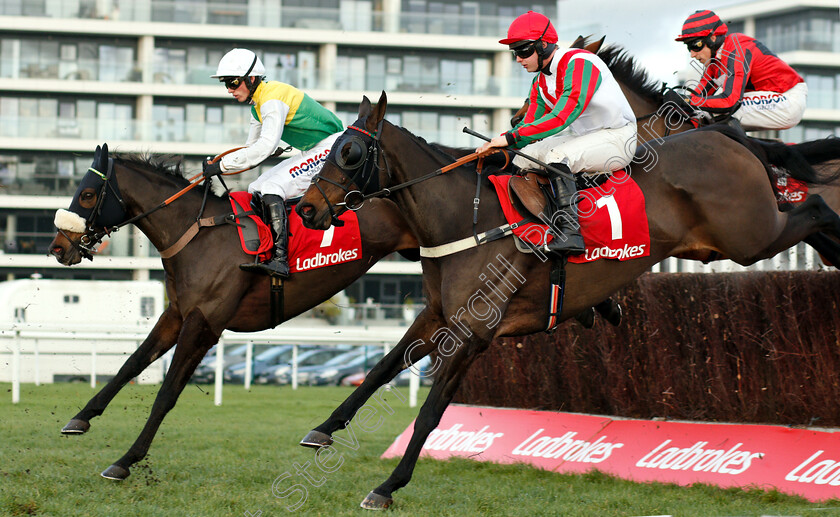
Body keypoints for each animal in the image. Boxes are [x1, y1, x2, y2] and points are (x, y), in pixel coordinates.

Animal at [45, 142, 416, 480]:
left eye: (88, 195)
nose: (58, 247)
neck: (197, 233)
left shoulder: (204, 324)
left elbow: (167, 393)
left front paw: (126, 460)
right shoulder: (177, 314)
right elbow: (130, 364)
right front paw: (80, 418)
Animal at [294, 90, 840, 506]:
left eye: (349, 153)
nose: (306, 210)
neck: (465, 222)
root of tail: (724, 134)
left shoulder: (472, 334)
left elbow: (430, 413)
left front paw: (387, 486)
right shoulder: (438, 317)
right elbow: (381, 369)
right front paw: (322, 429)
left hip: (752, 237)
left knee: (815, 206)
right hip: (730, 242)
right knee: (811, 216)